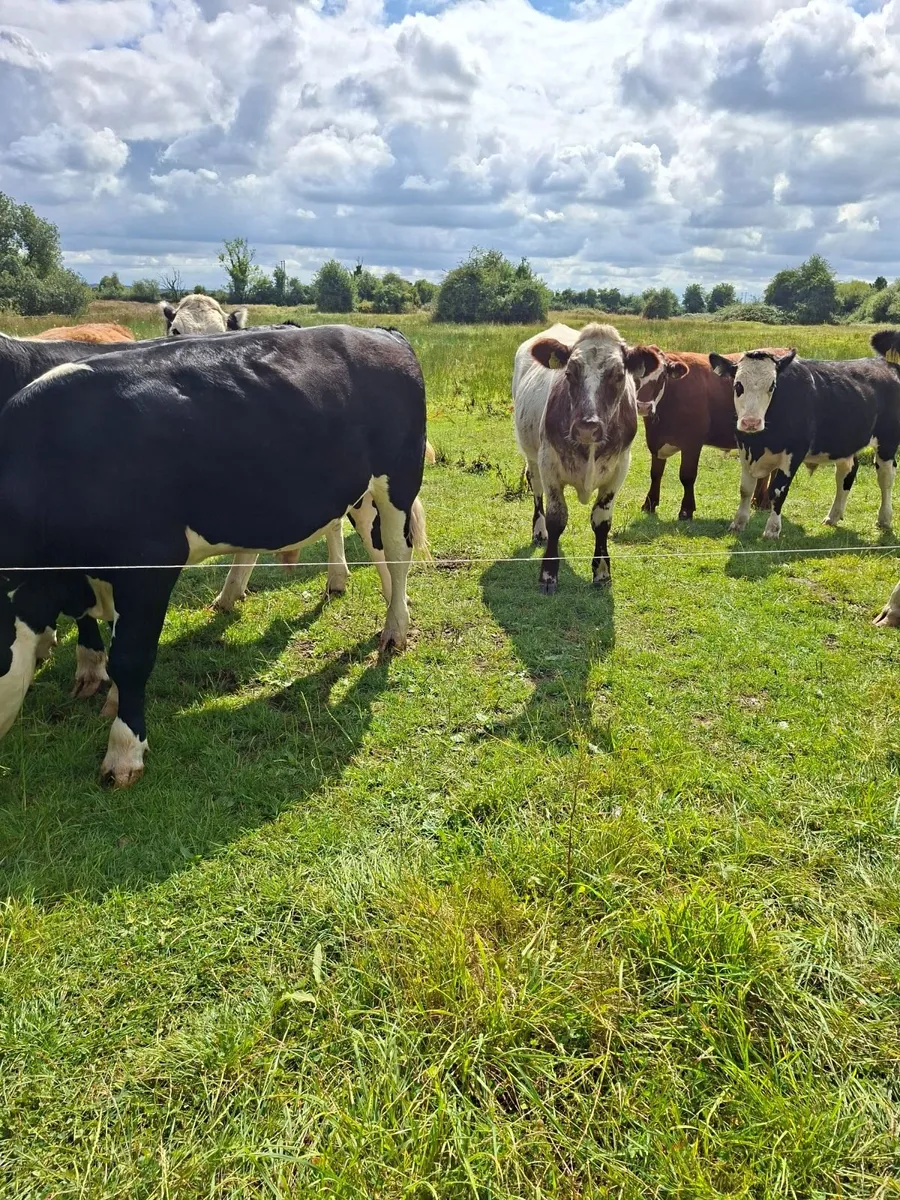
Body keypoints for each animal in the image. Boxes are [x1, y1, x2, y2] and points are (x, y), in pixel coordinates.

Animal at [0, 324, 428, 787]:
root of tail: (380, 333)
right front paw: (107, 693)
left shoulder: (150, 564)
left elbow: (131, 657)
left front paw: (124, 753)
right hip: (353, 488)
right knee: (373, 540)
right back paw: (383, 600)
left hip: (399, 477)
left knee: (398, 550)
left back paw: (395, 628)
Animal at [513, 322, 659, 592]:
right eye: (569, 373)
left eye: (618, 375)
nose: (587, 428)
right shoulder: (549, 463)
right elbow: (557, 519)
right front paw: (548, 574)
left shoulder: (619, 468)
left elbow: (601, 521)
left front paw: (602, 572)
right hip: (532, 455)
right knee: (536, 489)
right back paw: (538, 531)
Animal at [637, 349, 787, 519]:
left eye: (662, 376)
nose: (643, 406)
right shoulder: (656, 441)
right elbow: (655, 474)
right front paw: (649, 504)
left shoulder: (692, 443)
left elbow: (687, 476)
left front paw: (686, 510)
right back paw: (759, 501)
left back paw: (767, 502)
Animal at [710, 345, 900, 538]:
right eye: (738, 385)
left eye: (772, 386)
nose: (751, 422)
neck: (759, 443)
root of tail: (884, 362)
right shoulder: (744, 450)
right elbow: (745, 489)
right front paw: (738, 523)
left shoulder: (794, 453)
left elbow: (778, 491)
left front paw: (772, 529)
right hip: (844, 444)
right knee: (846, 473)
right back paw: (833, 516)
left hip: (887, 442)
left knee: (886, 477)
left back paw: (884, 519)